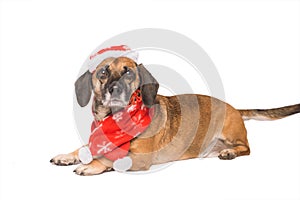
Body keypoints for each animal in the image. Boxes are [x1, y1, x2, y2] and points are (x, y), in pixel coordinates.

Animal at [49, 56, 300, 175]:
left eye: (128, 72)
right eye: (103, 72)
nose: (115, 89)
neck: (116, 120)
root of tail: (234, 108)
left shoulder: (138, 158)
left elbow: (108, 158)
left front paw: (91, 165)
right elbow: (84, 148)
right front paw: (68, 156)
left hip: (232, 133)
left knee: (246, 148)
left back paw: (230, 152)